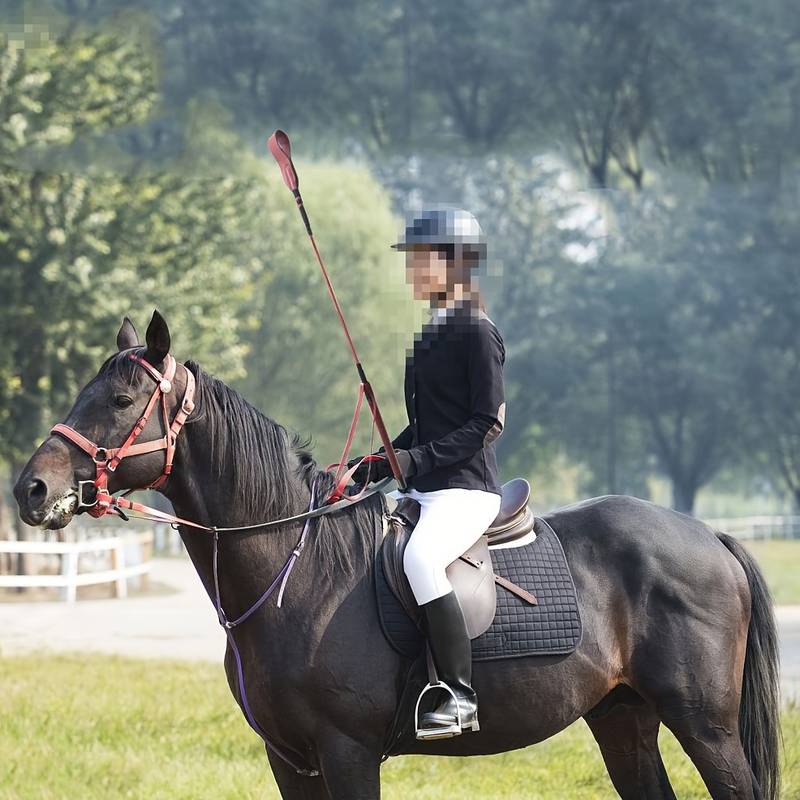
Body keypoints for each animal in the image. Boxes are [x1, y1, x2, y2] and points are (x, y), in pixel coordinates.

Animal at [13, 311, 780, 800]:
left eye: (119, 399)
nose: (31, 488)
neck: (297, 572)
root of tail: (710, 536)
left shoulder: (347, 753)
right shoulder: (290, 761)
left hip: (706, 727)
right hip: (623, 717)